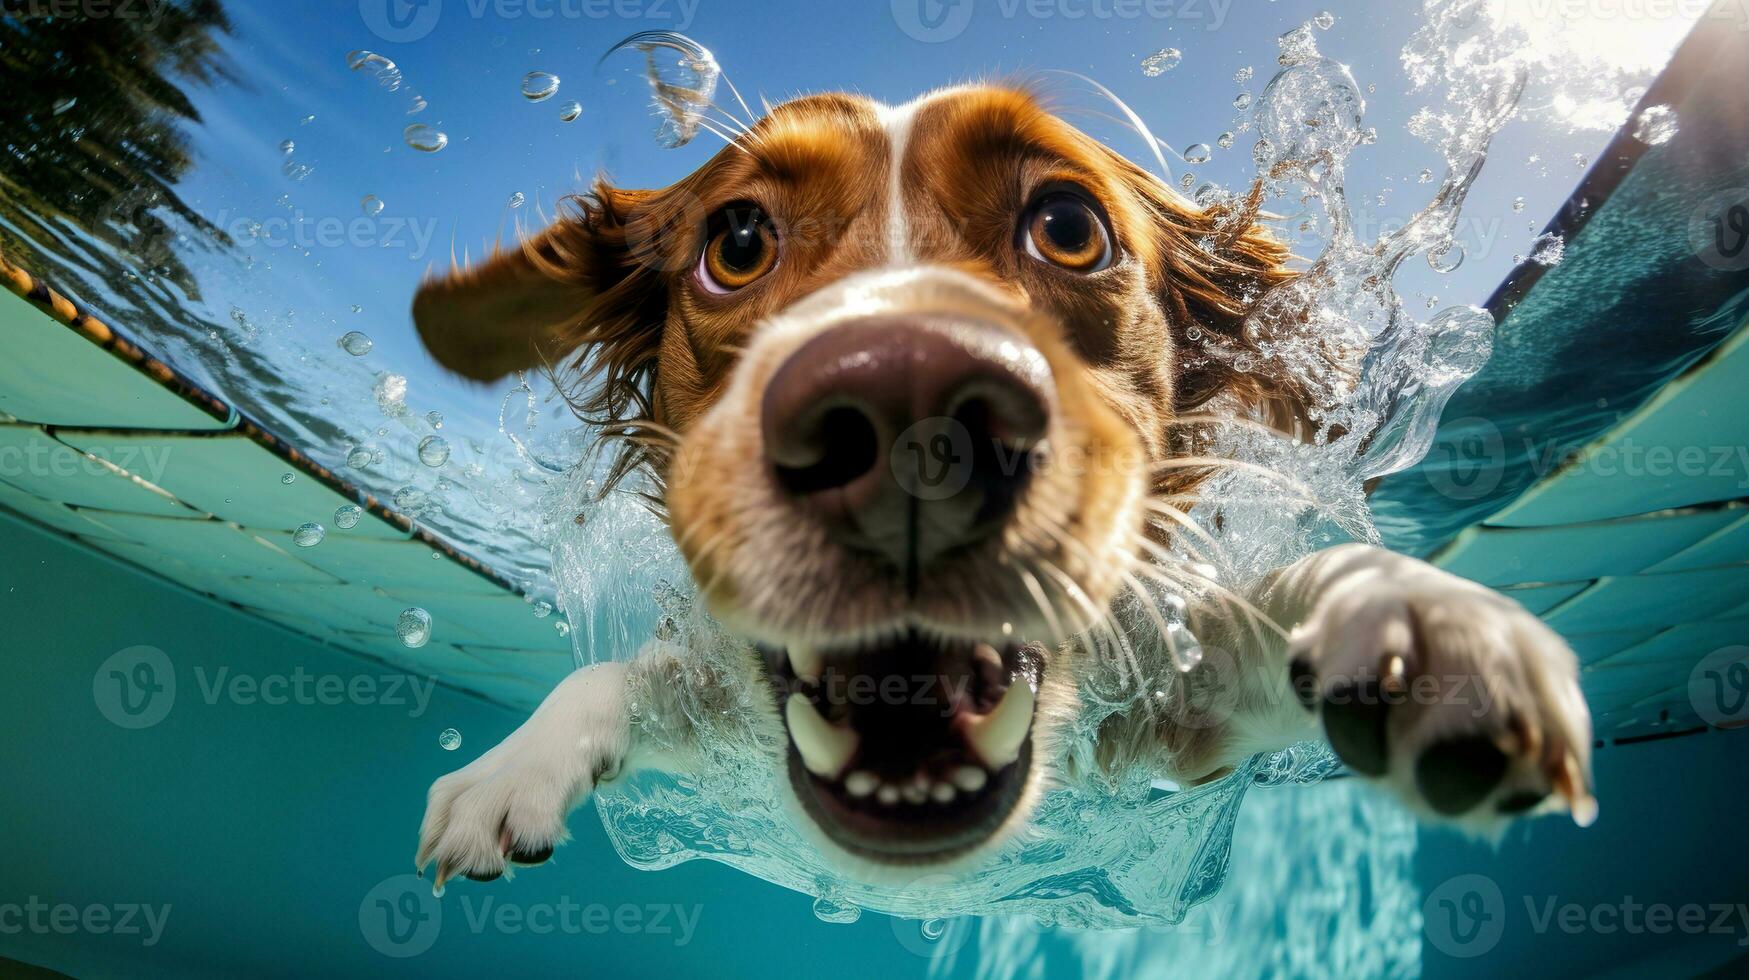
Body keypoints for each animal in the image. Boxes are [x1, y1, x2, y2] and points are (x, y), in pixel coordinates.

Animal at [409, 87, 1602, 892]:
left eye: (1069, 226)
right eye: (737, 240)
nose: (904, 406)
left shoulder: (1177, 719)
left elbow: (1274, 601)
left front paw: (1423, 625)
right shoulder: (723, 716)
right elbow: (621, 674)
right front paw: (512, 768)